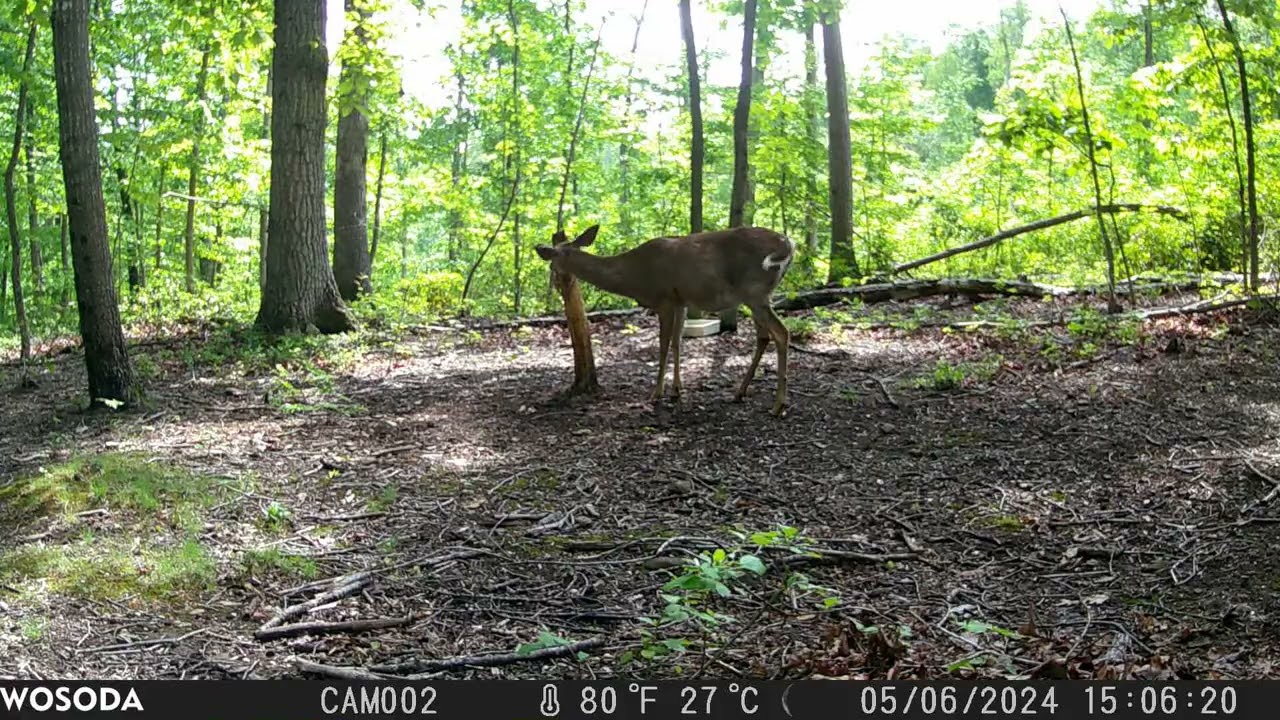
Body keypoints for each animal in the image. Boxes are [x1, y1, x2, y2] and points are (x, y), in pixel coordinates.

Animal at [535, 224, 795, 416]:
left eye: (554, 259)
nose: (554, 281)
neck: (633, 275)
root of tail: (788, 244)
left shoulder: (664, 299)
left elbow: (663, 344)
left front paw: (656, 393)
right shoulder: (680, 301)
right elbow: (678, 343)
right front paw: (676, 390)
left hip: (755, 292)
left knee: (781, 333)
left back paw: (778, 405)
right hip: (755, 297)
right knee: (764, 336)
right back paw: (740, 392)